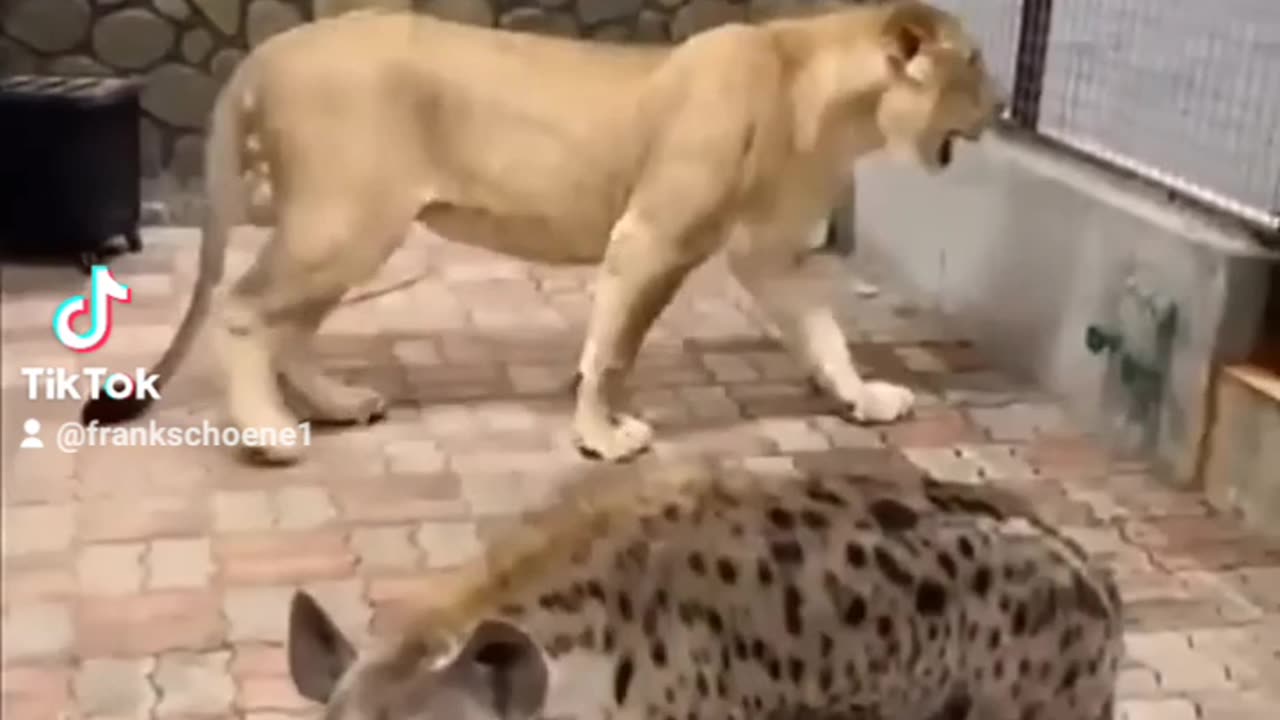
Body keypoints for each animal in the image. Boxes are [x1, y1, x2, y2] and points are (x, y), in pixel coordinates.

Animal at [81, 1, 1002, 464]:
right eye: (977, 64)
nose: (1000, 110)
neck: (830, 105)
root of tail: (268, 49)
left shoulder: (769, 252)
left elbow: (823, 333)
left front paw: (862, 398)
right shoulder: (653, 236)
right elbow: (615, 348)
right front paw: (603, 436)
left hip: (350, 229)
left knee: (290, 324)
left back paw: (339, 404)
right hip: (343, 220)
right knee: (245, 311)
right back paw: (270, 434)